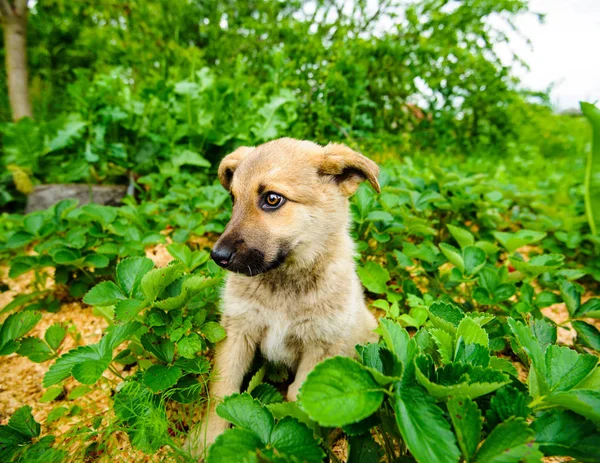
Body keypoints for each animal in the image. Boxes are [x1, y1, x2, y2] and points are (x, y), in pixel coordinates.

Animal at [188, 138, 378, 460]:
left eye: (272, 199)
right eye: (233, 199)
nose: (217, 257)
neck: (284, 280)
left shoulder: (318, 348)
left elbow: (300, 406)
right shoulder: (238, 332)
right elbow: (222, 392)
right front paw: (206, 440)